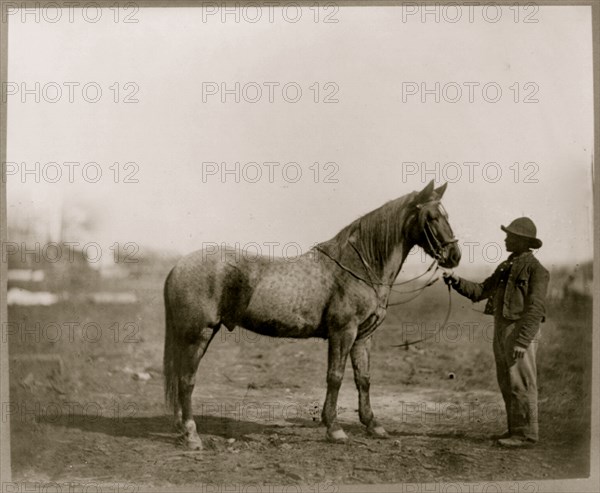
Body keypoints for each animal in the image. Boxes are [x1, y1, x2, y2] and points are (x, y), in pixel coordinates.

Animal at [163, 179, 460, 448]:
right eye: (432, 217)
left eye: (447, 215)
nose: (454, 256)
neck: (359, 267)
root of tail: (177, 267)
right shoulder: (343, 332)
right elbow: (335, 377)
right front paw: (335, 429)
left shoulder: (363, 336)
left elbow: (363, 379)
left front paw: (373, 425)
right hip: (198, 334)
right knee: (187, 379)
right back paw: (191, 435)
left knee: (179, 377)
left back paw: (180, 428)